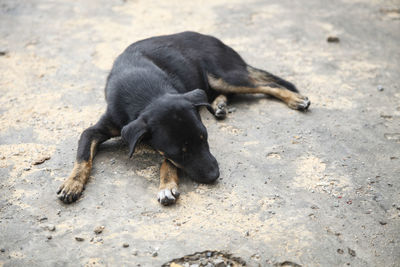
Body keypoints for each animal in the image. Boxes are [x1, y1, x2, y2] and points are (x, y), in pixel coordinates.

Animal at [57, 31, 310, 207]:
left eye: (204, 138)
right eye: (181, 151)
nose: (215, 176)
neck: (148, 93)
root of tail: (214, 39)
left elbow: (166, 163)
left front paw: (167, 186)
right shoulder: (96, 129)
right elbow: (83, 157)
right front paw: (72, 184)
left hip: (223, 75)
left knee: (267, 85)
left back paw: (295, 99)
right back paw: (218, 105)